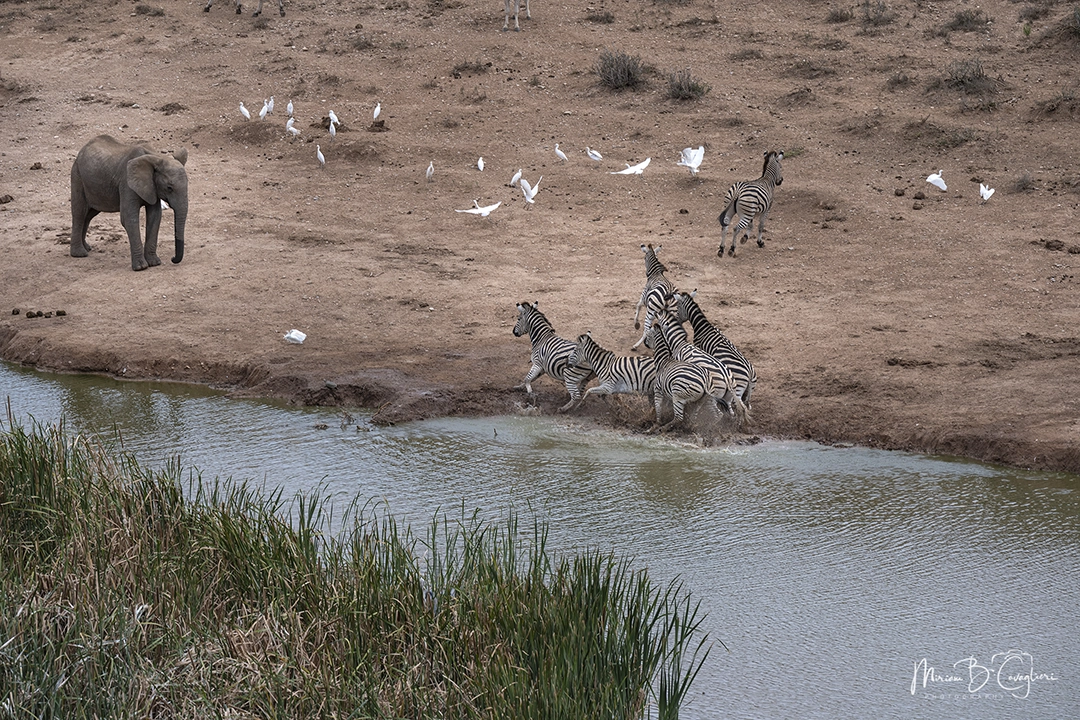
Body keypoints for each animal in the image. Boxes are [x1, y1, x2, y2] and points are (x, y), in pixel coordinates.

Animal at [70, 135, 189, 271]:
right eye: (169, 188)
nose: (173, 259)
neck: (156, 156)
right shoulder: (126, 182)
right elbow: (129, 218)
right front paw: (141, 267)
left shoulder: (152, 186)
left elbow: (155, 217)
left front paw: (154, 263)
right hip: (77, 175)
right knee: (79, 213)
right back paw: (79, 254)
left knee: (89, 214)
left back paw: (87, 248)